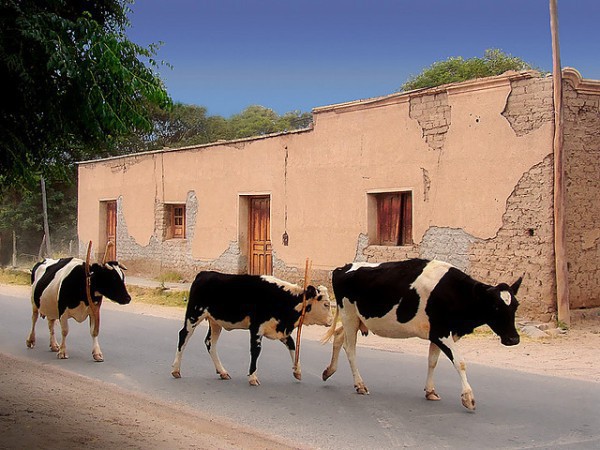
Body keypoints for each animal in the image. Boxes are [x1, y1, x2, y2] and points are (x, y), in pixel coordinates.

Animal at [172, 270, 332, 386]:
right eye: (326, 304)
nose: (331, 321)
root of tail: (204, 273)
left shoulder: (280, 329)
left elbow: (292, 346)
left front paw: (297, 371)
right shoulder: (256, 328)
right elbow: (256, 351)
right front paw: (253, 377)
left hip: (215, 322)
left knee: (210, 342)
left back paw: (222, 371)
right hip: (193, 315)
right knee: (183, 336)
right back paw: (176, 370)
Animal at [322, 258, 524, 410]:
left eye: (516, 305)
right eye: (495, 306)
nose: (514, 338)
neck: (456, 292)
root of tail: (343, 267)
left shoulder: (438, 334)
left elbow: (432, 361)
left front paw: (430, 391)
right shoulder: (442, 333)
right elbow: (460, 362)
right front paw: (468, 398)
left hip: (356, 320)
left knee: (338, 337)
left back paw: (329, 371)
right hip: (349, 315)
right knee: (350, 348)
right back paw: (360, 385)